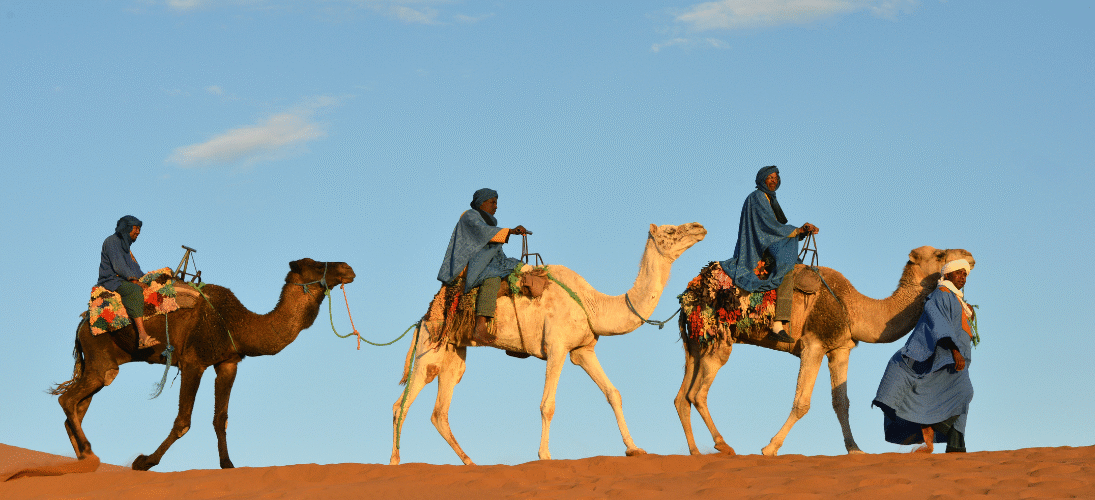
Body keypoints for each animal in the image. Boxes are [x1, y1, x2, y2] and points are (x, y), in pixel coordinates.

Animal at [49, 258, 356, 472]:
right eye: (315, 265)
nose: (347, 268)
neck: (237, 323)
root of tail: (82, 324)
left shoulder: (228, 362)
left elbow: (221, 418)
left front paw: (228, 465)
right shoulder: (193, 362)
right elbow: (183, 421)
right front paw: (143, 461)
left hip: (104, 366)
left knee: (76, 406)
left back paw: (84, 459)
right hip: (99, 357)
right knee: (67, 400)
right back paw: (89, 453)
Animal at [389, 223, 707, 465]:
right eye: (671, 230)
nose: (698, 227)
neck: (592, 304)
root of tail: (423, 317)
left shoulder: (582, 350)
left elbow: (613, 393)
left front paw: (634, 448)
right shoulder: (556, 347)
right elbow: (548, 405)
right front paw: (544, 455)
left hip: (453, 353)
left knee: (439, 411)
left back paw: (470, 462)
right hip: (430, 348)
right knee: (400, 404)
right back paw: (395, 462)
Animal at [674, 246, 974, 456]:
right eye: (940, 254)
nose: (969, 257)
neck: (853, 307)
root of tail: (689, 292)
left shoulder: (839, 348)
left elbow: (841, 402)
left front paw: (855, 450)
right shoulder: (813, 345)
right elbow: (801, 403)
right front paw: (770, 448)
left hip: (696, 343)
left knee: (682, 397)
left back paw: (695, 452)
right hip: (719, 338)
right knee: (697, 393)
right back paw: (723, 445)